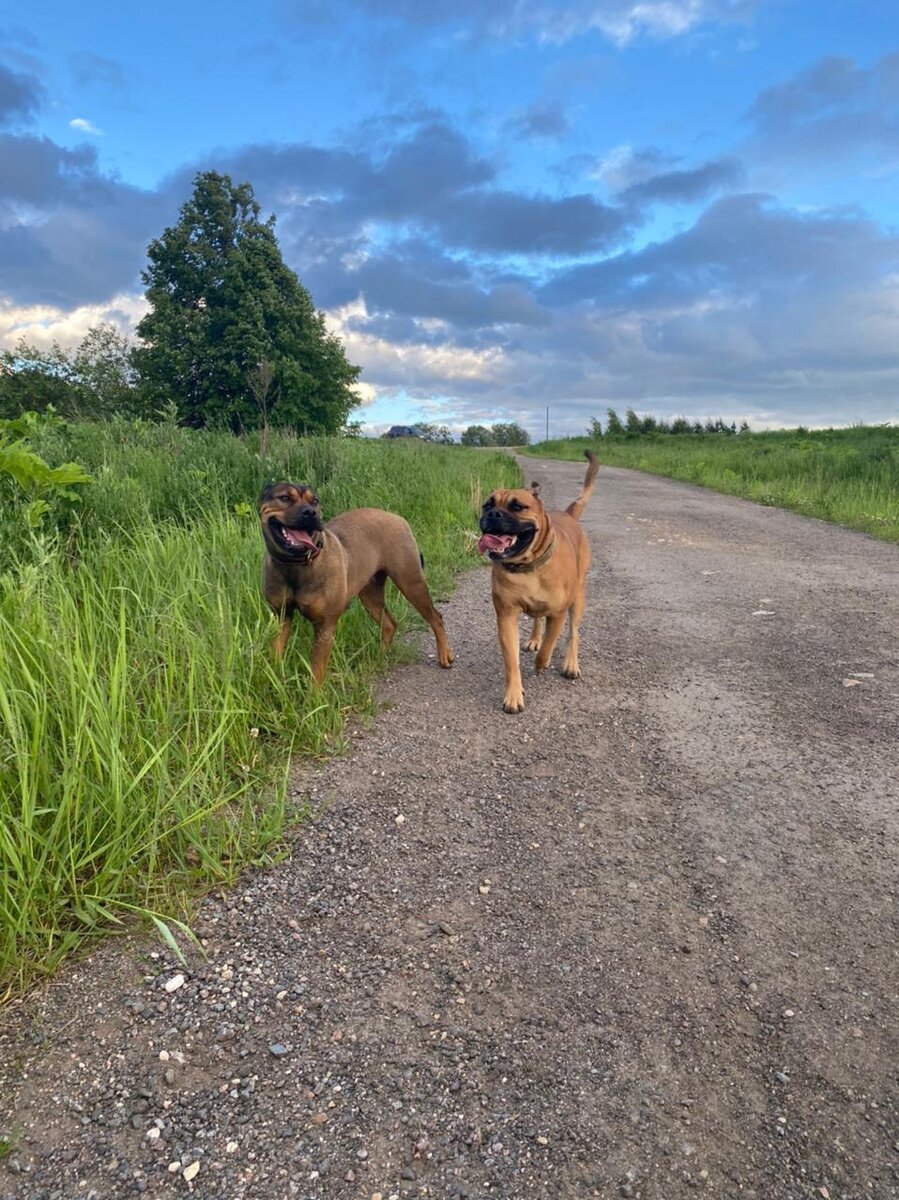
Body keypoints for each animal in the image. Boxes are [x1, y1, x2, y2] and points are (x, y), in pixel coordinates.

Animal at [259, 480, 456, 686]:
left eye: (314, 501)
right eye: (284, 498)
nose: (310, 512)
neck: (295, 565)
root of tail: (398, 518)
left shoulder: (325, 625)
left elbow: (317, 671)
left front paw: (314, 694)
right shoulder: (281, 616)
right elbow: (276, 652)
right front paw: (274, 679)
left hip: (411, 582)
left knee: (436, 617)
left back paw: (444, 655)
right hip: (371, 595)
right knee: (389, 624)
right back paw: (378, 658)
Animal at [477, 451, 595, 710]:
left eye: (517, 506)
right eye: (487, 505)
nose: (492, 514)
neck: (527, 566)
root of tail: (569, 514)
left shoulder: (558, 613)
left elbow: (550, 643)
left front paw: (542, 663)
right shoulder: (506, 616)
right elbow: (512, 661)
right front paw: (514, 694)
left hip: (578, 598)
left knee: (574, 633)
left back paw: (570, 664)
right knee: (538, 619)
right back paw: (533, 639)